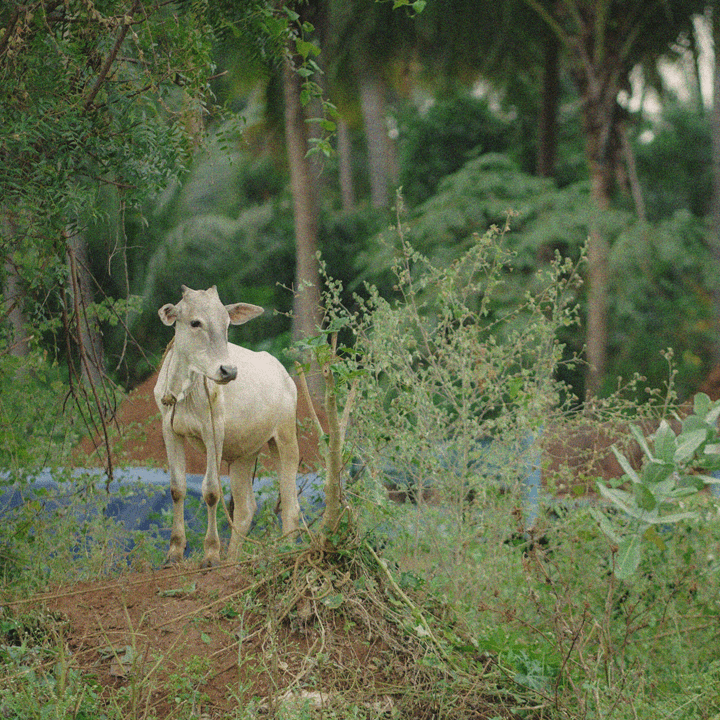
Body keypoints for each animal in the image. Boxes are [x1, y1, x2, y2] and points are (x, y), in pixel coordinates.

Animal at [153, 285, 301, 567]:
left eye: (227, 324)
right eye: (195, 323)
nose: (228, 371)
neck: (186, 390)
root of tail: (284, 374)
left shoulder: (214, 432)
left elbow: (211, 491)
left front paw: (211, 554)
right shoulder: (169, 431)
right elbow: (177, 488)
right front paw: (174, 552)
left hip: (285, 439)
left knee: (290, 503)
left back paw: (286, 550)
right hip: (245, 454)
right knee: (245, 508)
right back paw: (232, 558)